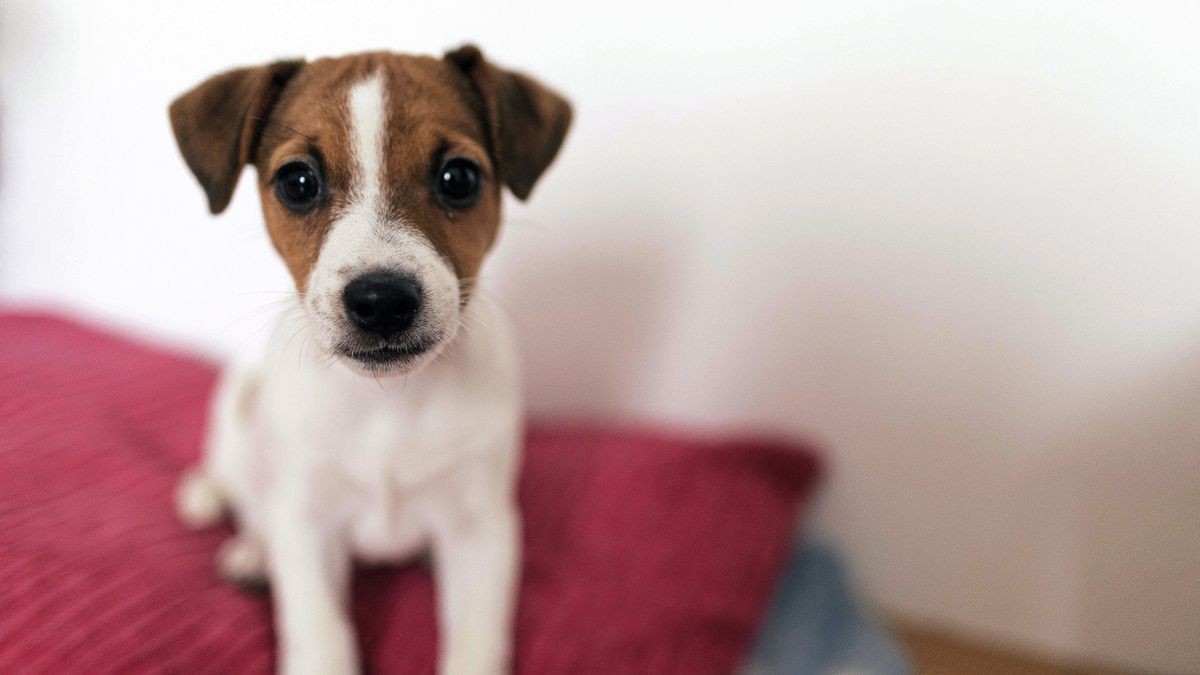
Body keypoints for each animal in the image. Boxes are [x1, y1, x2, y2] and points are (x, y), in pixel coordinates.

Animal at [168, 47, 571, 672]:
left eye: (459, 177)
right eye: (298, 182)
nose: (381, 301)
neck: (391, 401)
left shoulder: (482, 530)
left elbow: (474, 639)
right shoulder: (307, 524)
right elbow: (320, 631)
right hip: (239, 402)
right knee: (243, 489)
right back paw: (238, 532)